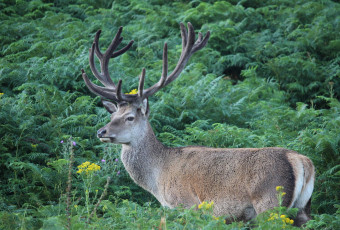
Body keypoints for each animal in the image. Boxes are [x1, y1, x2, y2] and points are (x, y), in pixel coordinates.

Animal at [81, 22, 314, 226]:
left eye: (130, 117)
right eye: (113, 115)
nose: (101, 131)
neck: (158, 178)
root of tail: (300, 160)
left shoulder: (185, 204)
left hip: (270, 203)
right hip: (302, 208)